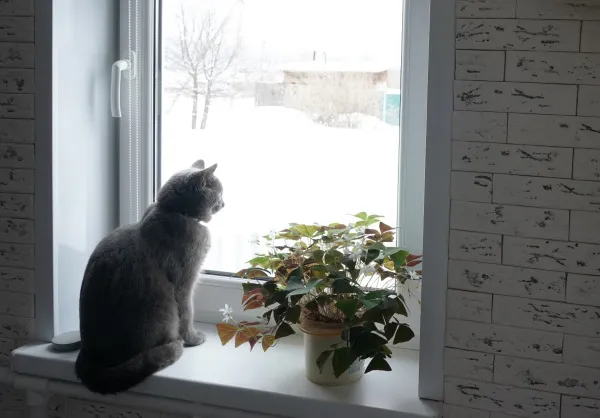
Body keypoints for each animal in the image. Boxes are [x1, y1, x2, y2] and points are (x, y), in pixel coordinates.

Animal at [75, 160, 224, 394]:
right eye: (219, 192)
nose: (224, 203)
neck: (176, 212)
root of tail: (89, 355)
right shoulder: (185, 282)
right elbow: (187, 312)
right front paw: (193, 338)